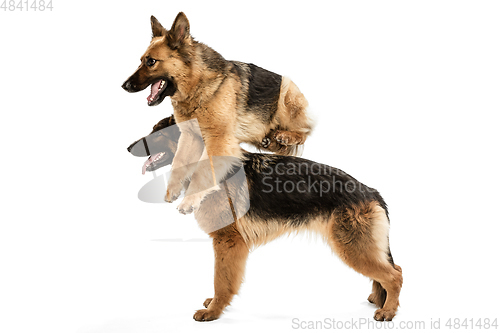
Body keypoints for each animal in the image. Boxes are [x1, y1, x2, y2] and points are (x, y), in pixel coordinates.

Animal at [121, 11, 314, 215]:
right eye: (141, 61)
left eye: (151, 62)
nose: (124, 86)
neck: (197, 86)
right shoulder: (190, 136)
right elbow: (179, 163)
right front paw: (172, 191)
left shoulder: (218, 140)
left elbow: (202, 170)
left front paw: (190, 200)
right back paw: (269, 139)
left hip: (286, 96)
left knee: (305, 131)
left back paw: (285, 136)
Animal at [128, 116, 402, 322]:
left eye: (157, 133)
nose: (128, 148)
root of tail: (370, 191)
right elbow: (223, 279)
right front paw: (214, 304)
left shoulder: (228, 242)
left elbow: (221, 280)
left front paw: (214, 311)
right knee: (392, 269)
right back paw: (380, 300)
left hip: (352, 248)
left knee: (395, 275)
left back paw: (388, 311)